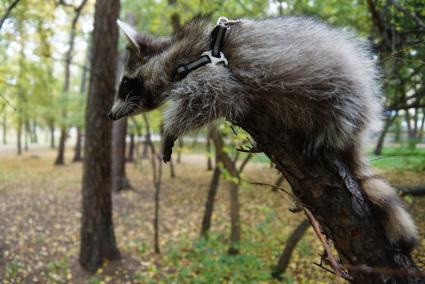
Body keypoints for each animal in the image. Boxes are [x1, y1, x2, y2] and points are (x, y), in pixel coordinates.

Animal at [108, 15, 418, 252]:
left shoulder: (211, 73)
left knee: (343, 106)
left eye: (125, 84)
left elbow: (210, 97)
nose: (110, 115)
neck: (177, 53)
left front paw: (171, 128)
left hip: (344, 82)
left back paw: (331, 129)